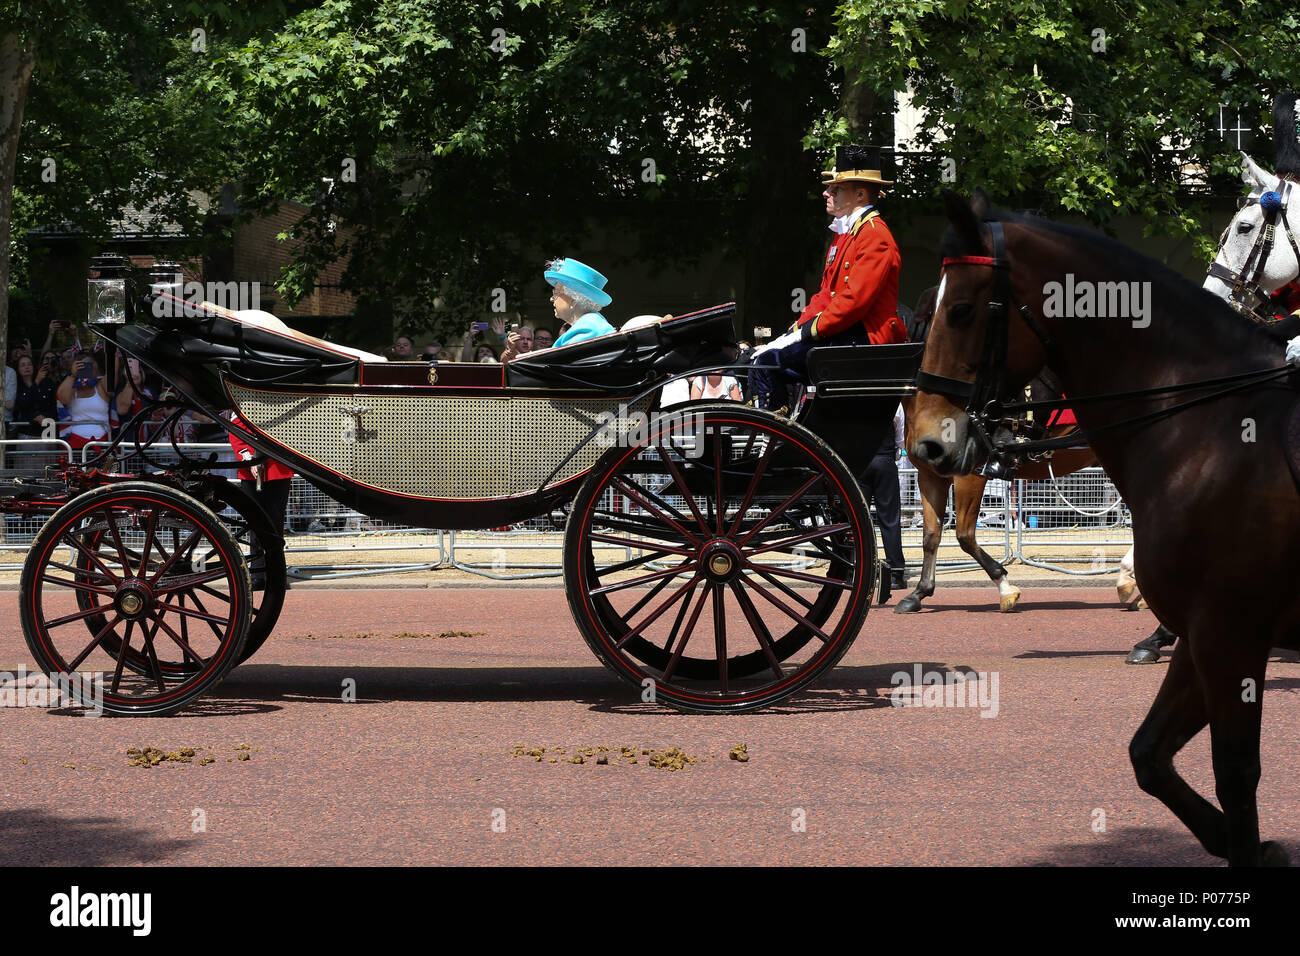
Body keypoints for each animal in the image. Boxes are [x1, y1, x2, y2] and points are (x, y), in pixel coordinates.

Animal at [909, 188, 1300, 868]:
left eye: (959, 309)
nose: (928, 437)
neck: (1212, 426)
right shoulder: (1209, 636)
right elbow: (1150, 755)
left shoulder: (1230, 635)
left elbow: (1236, 774)